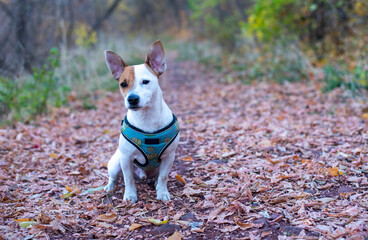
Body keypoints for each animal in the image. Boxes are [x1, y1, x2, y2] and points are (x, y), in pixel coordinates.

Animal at [103, 40, 180, 202]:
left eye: (146, 82)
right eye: (123, 84)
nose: (132, 98)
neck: (146, 117)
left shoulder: (169, 156)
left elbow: (163, 177)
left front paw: (162, 192)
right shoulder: (125, 158)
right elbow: (128, 179)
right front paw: (130, 195)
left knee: (158, 176)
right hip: (115, 162)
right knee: (114, 177)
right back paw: (110, 187)